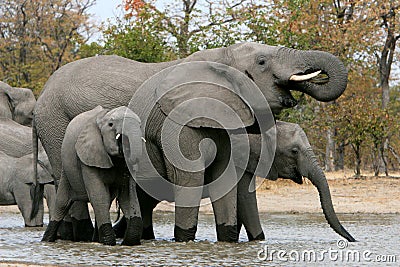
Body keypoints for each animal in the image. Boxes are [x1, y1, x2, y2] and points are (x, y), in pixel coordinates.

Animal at [41, 106, 144, 247]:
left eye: (140, 125)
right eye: (111, 125)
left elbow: (127, 196)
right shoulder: (87, 155)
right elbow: (99, 195)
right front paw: (109, 243)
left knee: (105, 203)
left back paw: (95, 240)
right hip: (66, 168)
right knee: (62, 203)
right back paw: (46, 241)